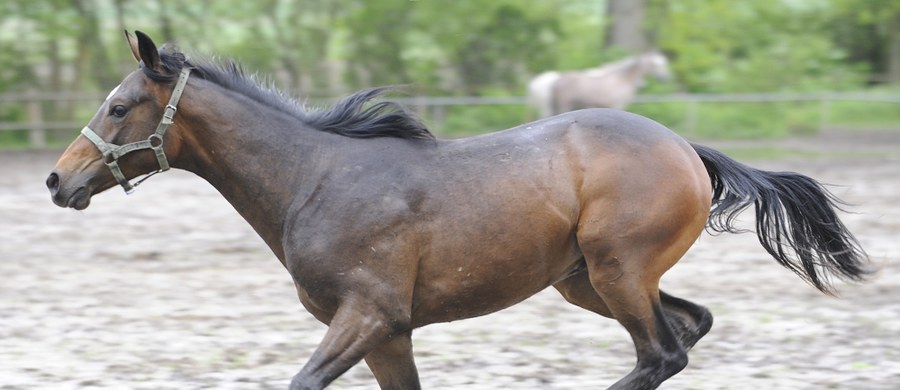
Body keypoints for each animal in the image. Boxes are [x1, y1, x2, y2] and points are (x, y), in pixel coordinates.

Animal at [528, 52, 668, 118]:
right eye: (657, 65)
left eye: (663, 63)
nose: (666, 77)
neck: (622, 79)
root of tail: (557, 80)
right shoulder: (618, 105)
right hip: (563, 105)